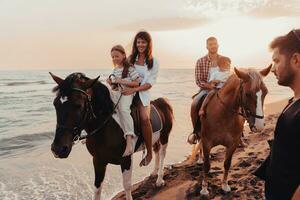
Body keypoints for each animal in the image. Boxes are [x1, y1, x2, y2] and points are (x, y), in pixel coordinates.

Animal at [49, 72, 173, 200]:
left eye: (78, 105)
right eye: (55, 104)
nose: (57, 149)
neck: (106, 129)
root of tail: (163, 101)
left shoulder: (126, 160)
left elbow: (127, 186)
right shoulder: (98, 161)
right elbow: (97, 188)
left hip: (165, 136)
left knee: (162, 154)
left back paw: (159, 180)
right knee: (156, 150)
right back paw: (154, 172)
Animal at [197, 65, 272, 195]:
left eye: (265, 92)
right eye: (247, 94)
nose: (259, 125)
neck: (223, 115)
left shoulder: (232, 144)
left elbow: (227, 164)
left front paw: (224, 185)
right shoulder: (207, 142)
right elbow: (206, 165)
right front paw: (205, 188)